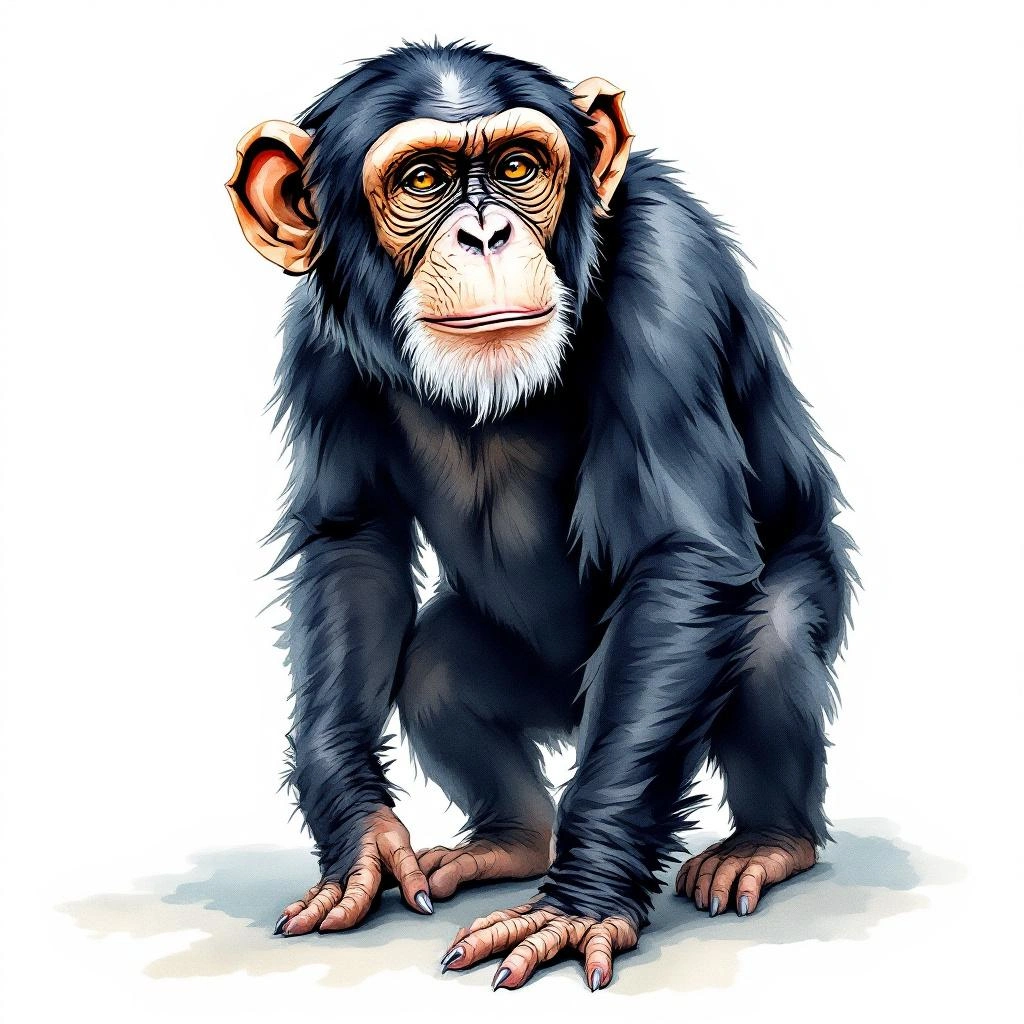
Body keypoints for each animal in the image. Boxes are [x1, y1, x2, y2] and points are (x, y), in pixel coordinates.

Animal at [226, 41, 856, 991]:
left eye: (519, 167)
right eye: (422, 178)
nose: (486, 233)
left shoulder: (669, 271)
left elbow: (679, 558)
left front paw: (578, 906)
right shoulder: (316, 339)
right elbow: (354, 546)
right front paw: (360, 841)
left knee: (773, 630)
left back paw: (767, 844)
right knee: (435, 670)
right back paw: (510, 843)